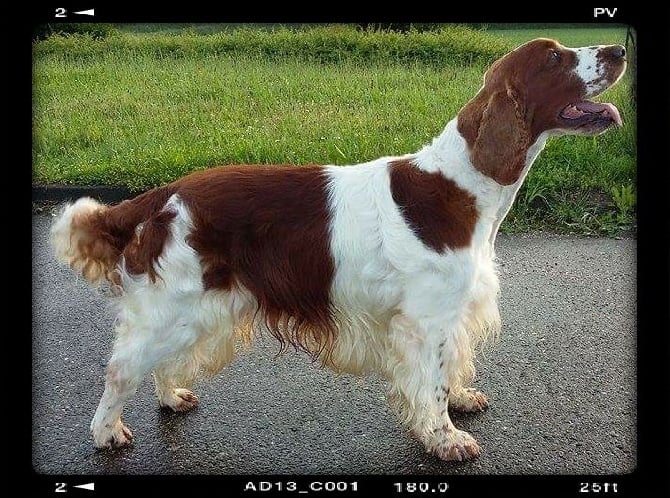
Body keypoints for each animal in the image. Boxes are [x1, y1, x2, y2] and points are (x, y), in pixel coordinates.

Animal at [50, 39, 628, 462]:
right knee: (121, 369)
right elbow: (432, 382)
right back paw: (107, 434)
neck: (462, 186)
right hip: (174, 303)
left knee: (164, 363)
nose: (620, 50)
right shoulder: (425, 320)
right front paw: (445, 438)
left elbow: (451, 370)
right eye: (555, 58)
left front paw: (462, 400)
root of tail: (161, 195)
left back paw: (172, 398)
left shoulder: (455, 310)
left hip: (200, 305)